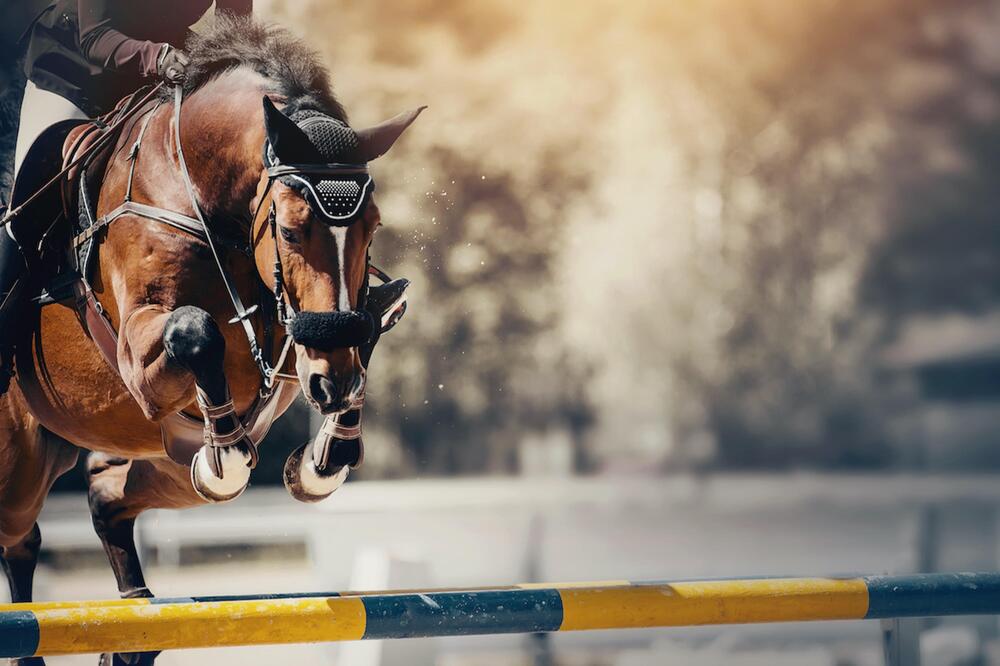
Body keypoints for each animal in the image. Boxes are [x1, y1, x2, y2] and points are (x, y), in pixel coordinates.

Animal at [0, 15, 420, 664]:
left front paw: (324, 457)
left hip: (154, 465)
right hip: (19, 465)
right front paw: (226, 451)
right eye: (292, 232)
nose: (332, 382)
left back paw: (130, 629)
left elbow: (367, 326)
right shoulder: (139, 356)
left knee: (102, 497)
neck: (200, 195)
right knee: (23, 535)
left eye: (372, 228)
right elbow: (197, 333)